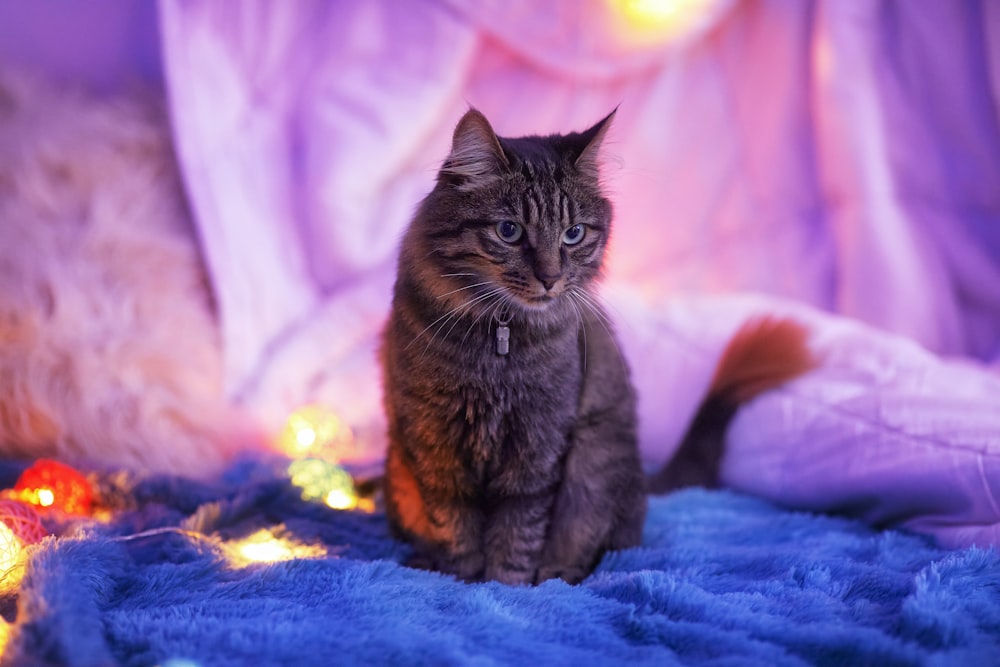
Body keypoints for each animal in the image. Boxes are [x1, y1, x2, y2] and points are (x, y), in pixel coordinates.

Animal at [378, 108, 644, 584]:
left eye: (574, 233)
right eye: (509, 231)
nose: (551, 278)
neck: (499, 342)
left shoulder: (538, 445)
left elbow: (518, 531)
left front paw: (506, 585)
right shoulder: (436, 439)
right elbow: (455, 526)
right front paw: (461, 579)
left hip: (595, 464)